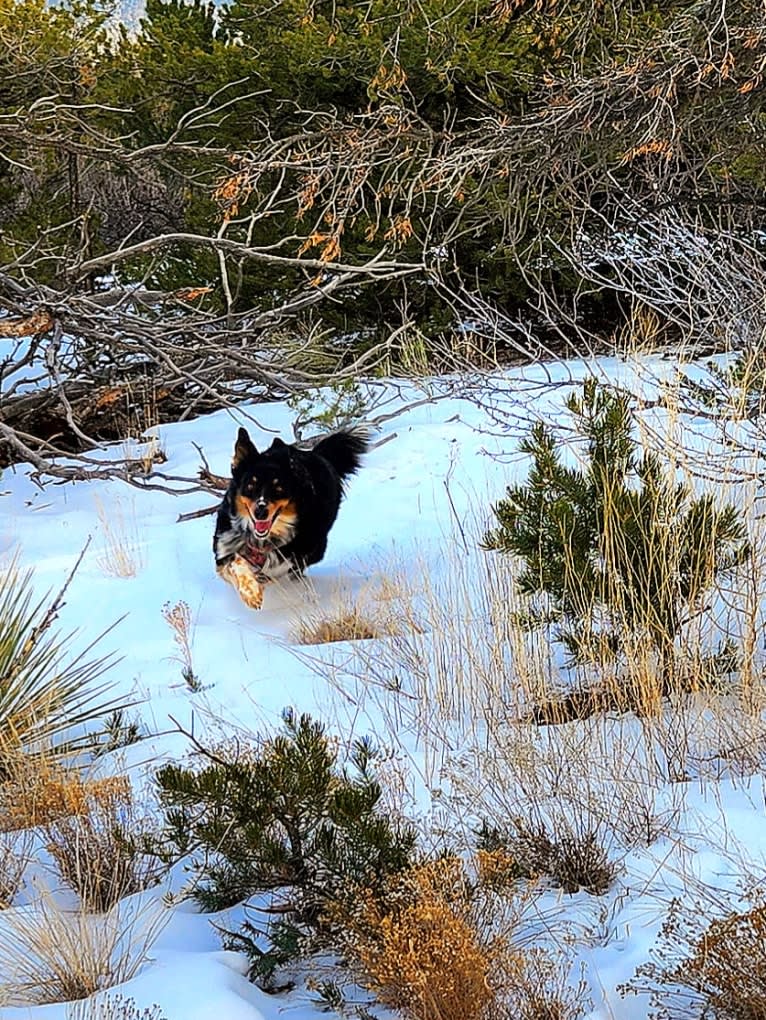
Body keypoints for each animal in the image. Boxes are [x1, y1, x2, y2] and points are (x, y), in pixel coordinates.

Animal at [214, 426, 369, 607]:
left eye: (278, 488)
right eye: (250, 485)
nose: (261, 512)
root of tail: (315, 454)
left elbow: (277, 569)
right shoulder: (223, 550)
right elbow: (235, 561)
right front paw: (251, 591)